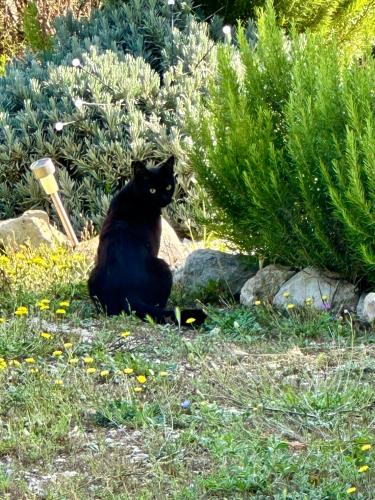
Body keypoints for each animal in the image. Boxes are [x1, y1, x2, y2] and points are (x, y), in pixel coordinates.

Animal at [88, 158, 207, 326]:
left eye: (168, 186)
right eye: (152, 190)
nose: (164, 199)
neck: (134, 196)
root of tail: (128, 292)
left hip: (92, 276)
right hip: (163, 267)